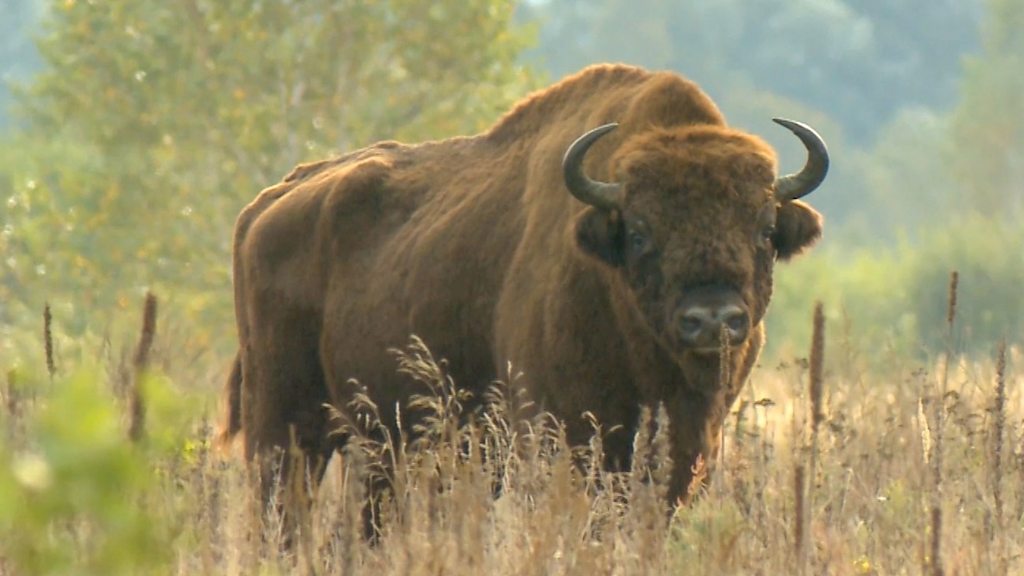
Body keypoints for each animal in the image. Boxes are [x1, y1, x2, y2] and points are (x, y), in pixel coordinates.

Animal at [220, 62, 827, 516]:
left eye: (765, 228)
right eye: (638, 232)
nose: (712, 318)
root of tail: (269, 204)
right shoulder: (561, 434)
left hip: (377, 446)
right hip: (285, 427)